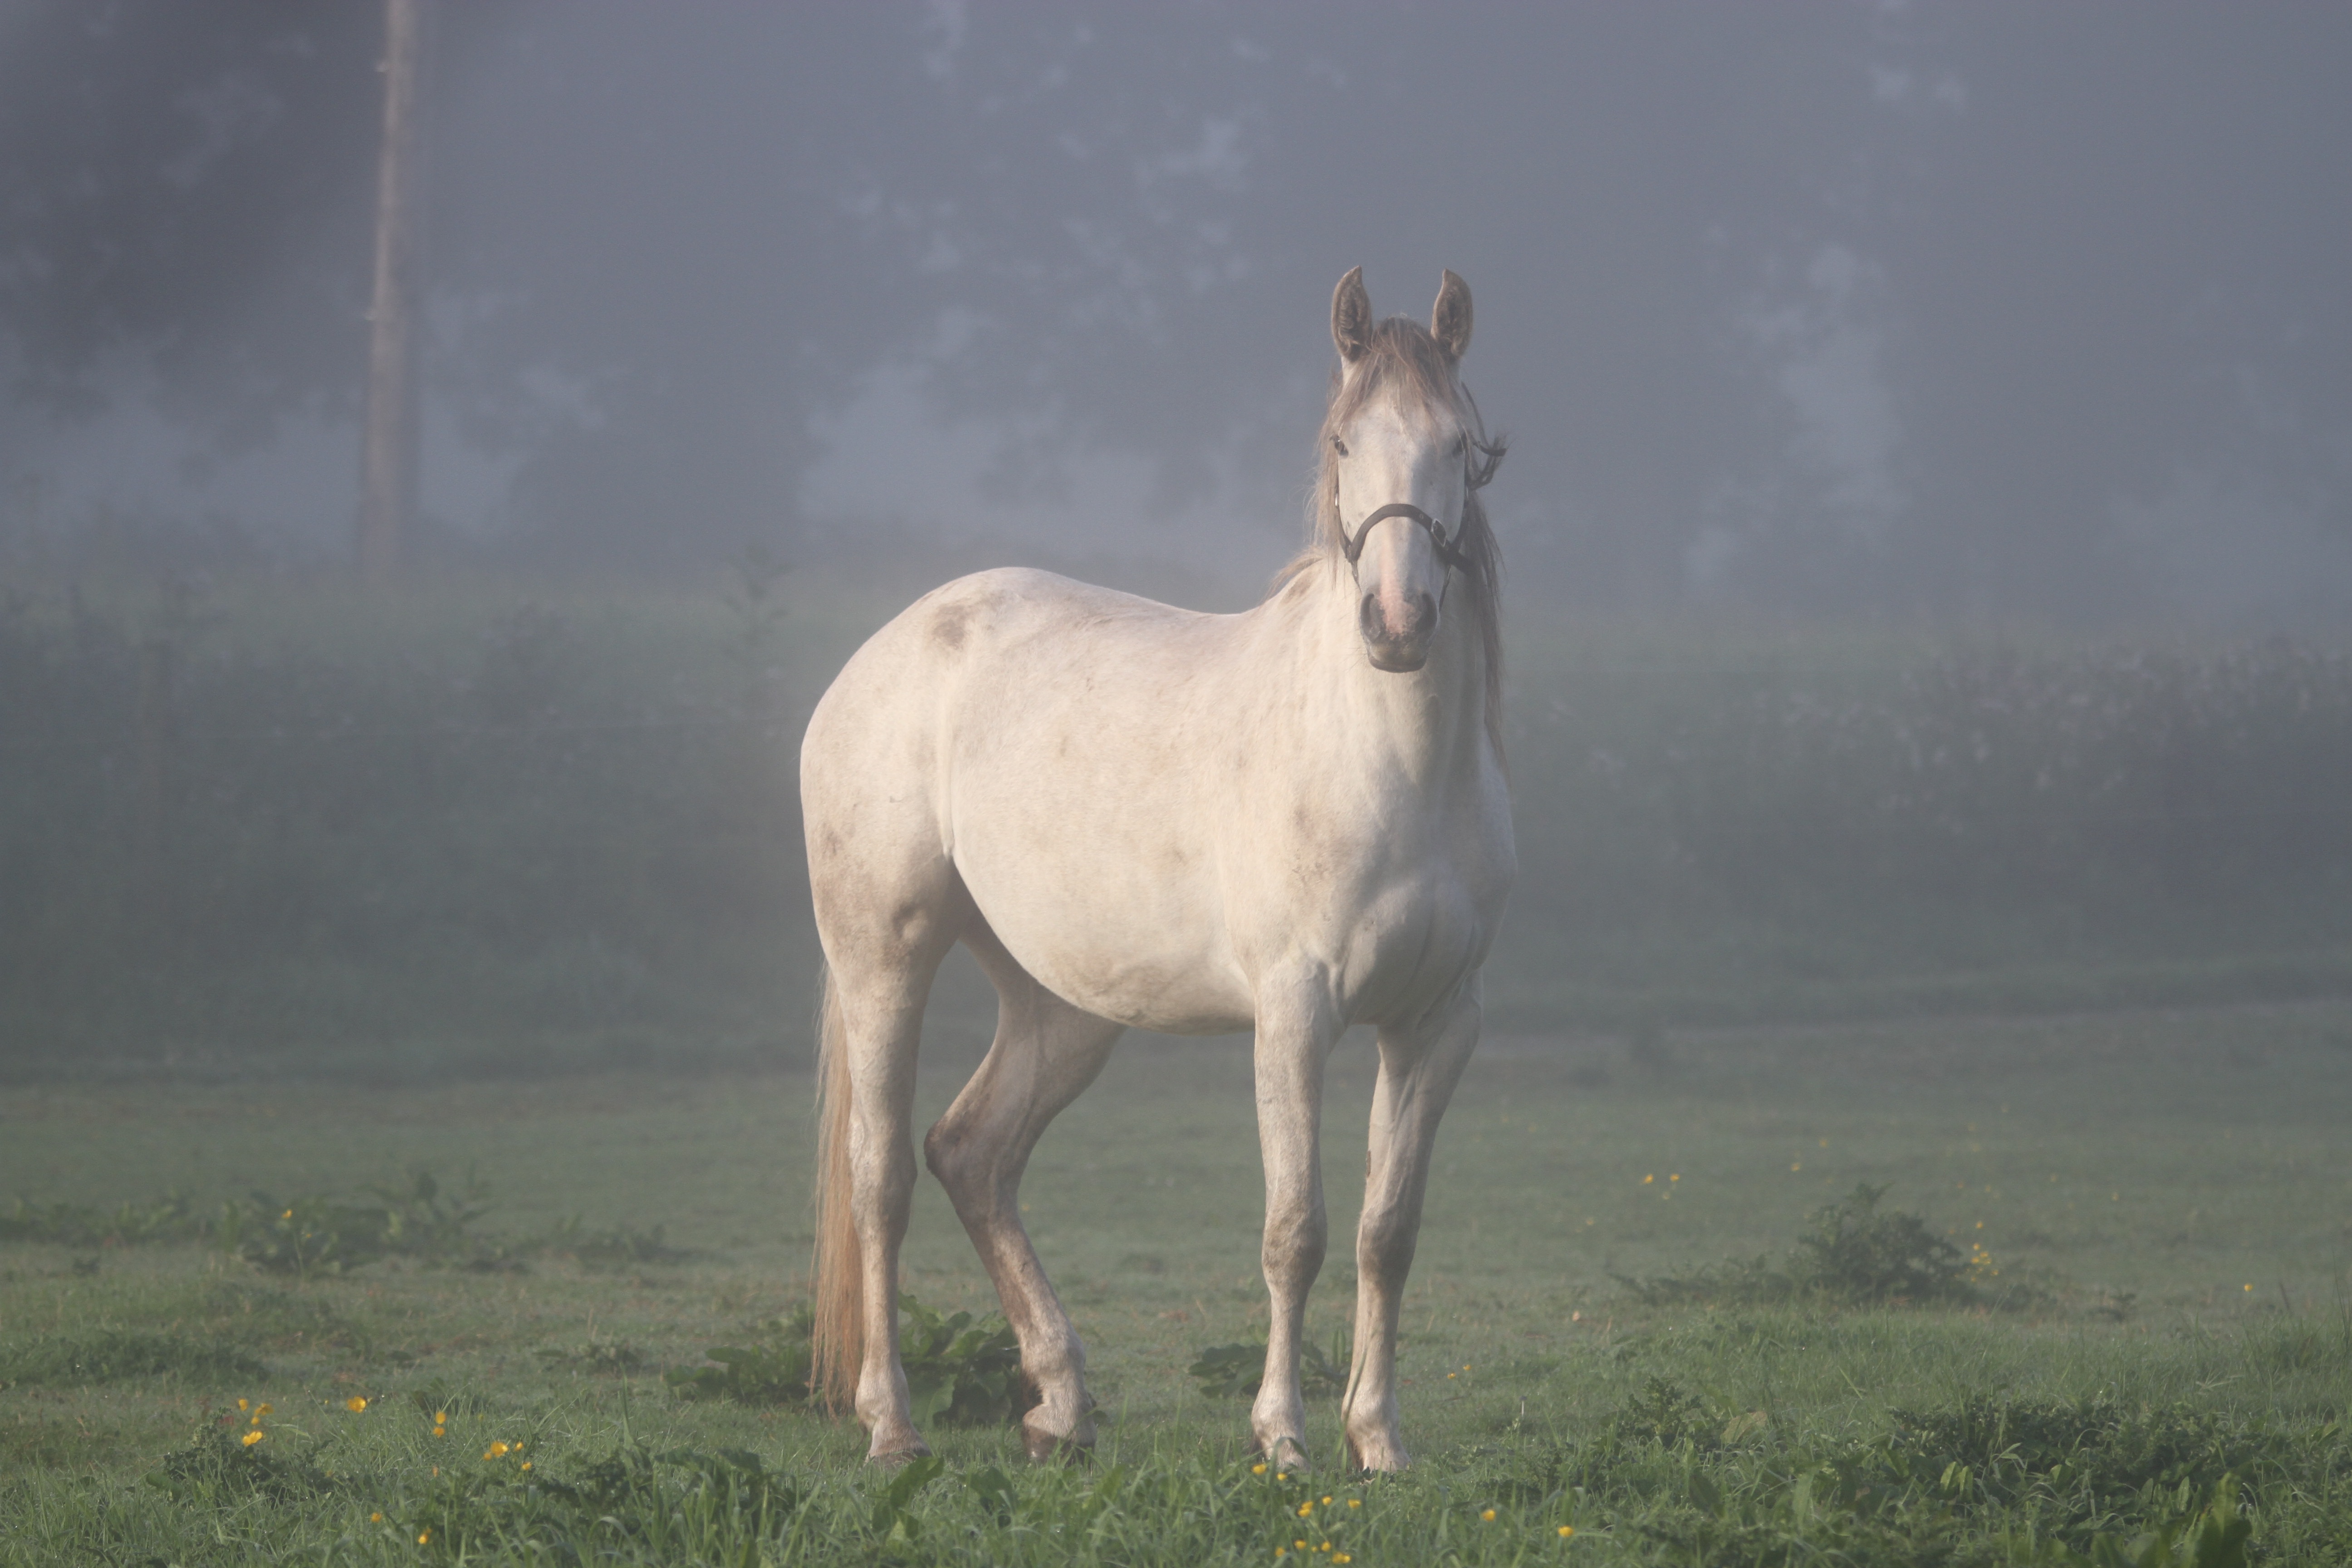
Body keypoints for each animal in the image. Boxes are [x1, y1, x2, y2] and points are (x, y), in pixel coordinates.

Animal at [799, 267, 1514, 1476]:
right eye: (1342, 441)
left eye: (1458, 445)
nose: (1397, 621)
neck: (1393, 762)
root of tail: (880, 656)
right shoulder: (1295, 1013)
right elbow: (1296, 1229)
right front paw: (1283, 1436)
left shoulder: (1438, 1022)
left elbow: (1388, 1231)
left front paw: (1378, 1438)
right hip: (881, 956)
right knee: (883, 1176)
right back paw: (892, 1425)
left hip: (1063, 1004)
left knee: (972, 1153)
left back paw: (1060, 1404)